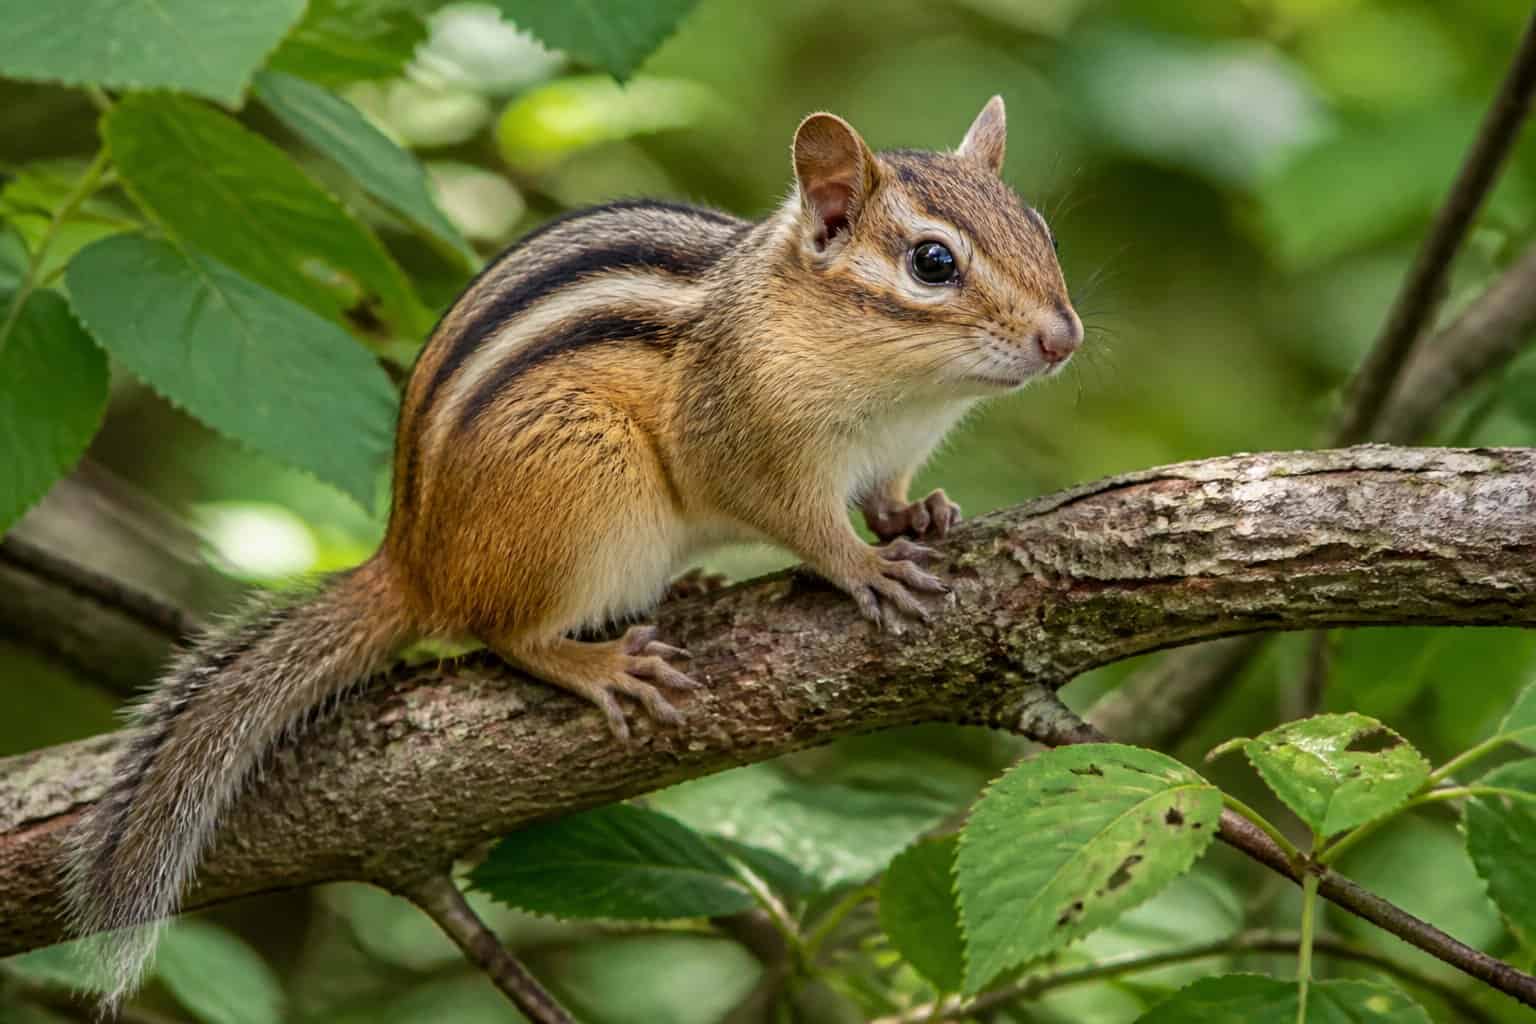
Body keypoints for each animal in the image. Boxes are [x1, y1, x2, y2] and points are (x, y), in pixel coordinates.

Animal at [63, 95, 1081, 1010]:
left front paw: (922, 516)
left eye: (1039, 226)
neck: (898, 392)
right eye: (933, 262)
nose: (1063, 337)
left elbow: (884, 496)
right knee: (505, 634)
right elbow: (803, 522)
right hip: (588, 489)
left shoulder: (891, 451)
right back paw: (599, 665)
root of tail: (411, 559)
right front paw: (864, 566)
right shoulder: (747, 441)